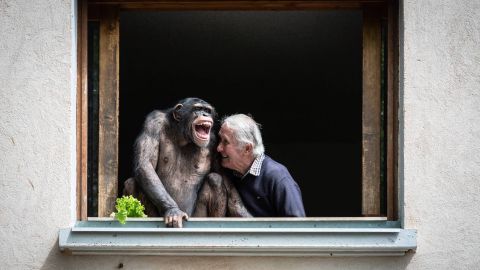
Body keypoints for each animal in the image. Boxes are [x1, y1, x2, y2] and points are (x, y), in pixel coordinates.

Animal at [123, 97, 251, 228]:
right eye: (198, 109)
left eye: (207, 110)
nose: (205, 114)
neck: (183, 137)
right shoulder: (153, 122)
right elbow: (145, 164)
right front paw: (173, 210)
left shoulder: (215, 142)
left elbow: (229, 188)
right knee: (131, 183)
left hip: (197, 217)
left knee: (215, 180)